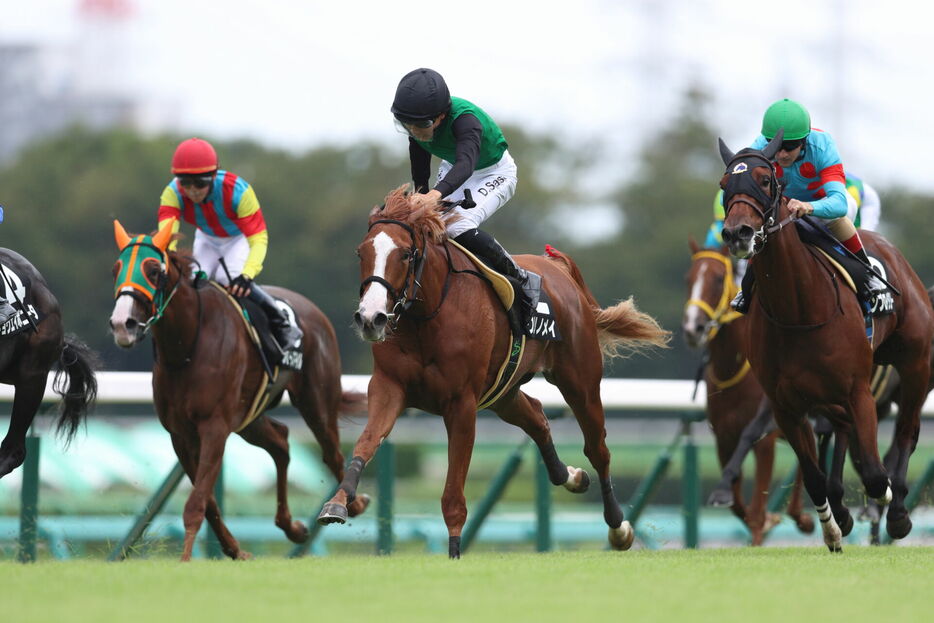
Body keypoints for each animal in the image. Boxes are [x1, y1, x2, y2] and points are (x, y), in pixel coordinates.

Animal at [109, 222, 370, 564]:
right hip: (249, 417)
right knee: (281, 442)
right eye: (116, 269)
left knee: (331, 453)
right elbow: (207, 501)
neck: (187, 347)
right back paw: (292, 527)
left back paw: (353, 503)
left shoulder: (214, 427)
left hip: (317, 400)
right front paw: (234, 550)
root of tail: (313, 309)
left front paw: (186, 558)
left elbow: (197, 501)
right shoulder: (181, 435)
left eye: (153, 270)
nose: (121, 324)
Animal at [318, 188, 668, 560]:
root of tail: (558, 270)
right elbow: (367, 442)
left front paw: (455, 551)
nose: (371, 318)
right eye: (362, 252)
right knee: (537, 417)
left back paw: (619, 527)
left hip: (580, 380)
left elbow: (453, 491)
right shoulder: (389, 386)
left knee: (597, 448)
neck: (426, 317)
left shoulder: (461, 403)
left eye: (405, 254)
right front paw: (337, 503)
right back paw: (571, 476)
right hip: (503, 391)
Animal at [684, 241, 816, 544]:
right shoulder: (723, 437)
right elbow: (736, 504)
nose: (693, 328)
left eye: (718, 278)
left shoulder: (765, 441)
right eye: (688, 279)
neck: (732, 369)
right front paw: (766, 518)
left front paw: (762, 527)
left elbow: (756, 509)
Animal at [720, 134, 932, 552]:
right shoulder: (786, 404)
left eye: (764, 181)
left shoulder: (858, 391)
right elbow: (815, 475)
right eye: (724, 185)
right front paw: (834, 527)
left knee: (907, 431)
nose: (738, 234)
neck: (798, 309)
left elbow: (874, 473)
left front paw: (881, 503)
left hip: (916, 364)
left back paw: (898, 512)